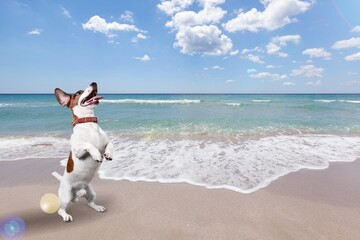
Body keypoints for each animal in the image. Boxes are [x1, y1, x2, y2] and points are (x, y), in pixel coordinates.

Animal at [52, 81, 113, 222]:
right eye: (78, 93)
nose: (94, 82)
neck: (89, 124)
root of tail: (77, 194)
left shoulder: (105, 143)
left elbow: (111, 143)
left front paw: (109, 153)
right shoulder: (77, 151)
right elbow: (88, 144)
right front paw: (96, 155)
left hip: (91, 191)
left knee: (90, 203)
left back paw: (97, 207)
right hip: (65, 196)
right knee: (61, 209)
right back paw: (66, 216)